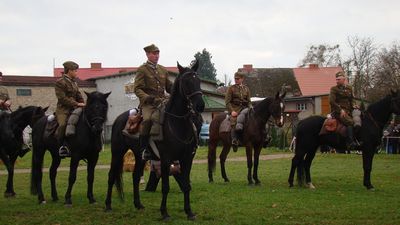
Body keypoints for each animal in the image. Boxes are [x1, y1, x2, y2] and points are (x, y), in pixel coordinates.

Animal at [104, 61, 203, 220]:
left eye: (198, 80)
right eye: (186, 82)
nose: (200, 105)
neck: (176, 123)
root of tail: (119, 118)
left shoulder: (187, 159)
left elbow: (186, 185)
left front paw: (189, 212)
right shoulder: (166, 160)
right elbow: (165, 187)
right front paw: (164, 212)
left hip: (139, 156)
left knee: (135, 176)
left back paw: (138, 204)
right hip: (117, 152)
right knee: (112, 175)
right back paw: (108, 205)